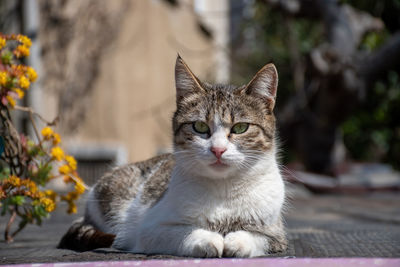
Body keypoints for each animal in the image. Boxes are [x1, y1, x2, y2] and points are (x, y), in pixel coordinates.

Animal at [57, 55, 288, 258]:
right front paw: (208, 239)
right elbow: (183, 233)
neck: (223, 190)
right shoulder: (150, 229)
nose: (218, 150)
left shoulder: (277, 234)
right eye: (200, 126)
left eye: (240, 127)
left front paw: (237, 242)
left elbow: (257, 236)